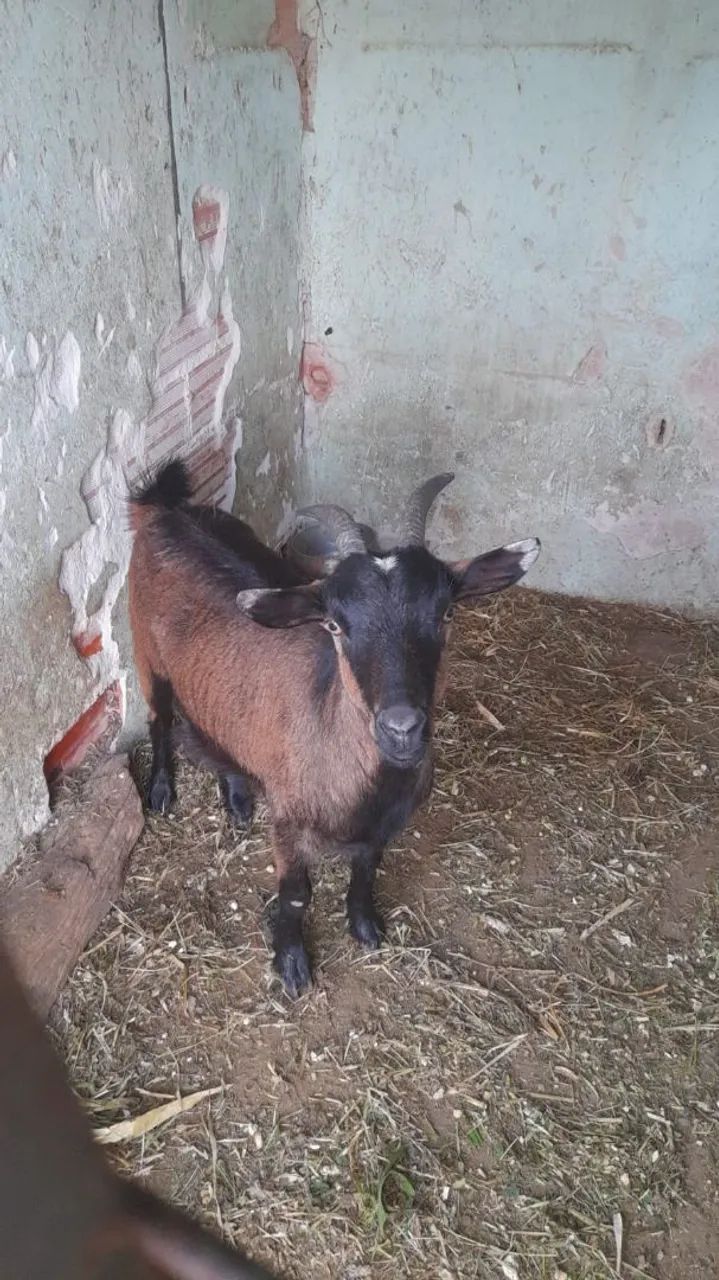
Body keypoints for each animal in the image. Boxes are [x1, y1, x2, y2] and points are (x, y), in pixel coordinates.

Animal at [128, 461, 540, 997]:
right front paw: (291, 964)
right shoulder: (289, 821)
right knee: (159, 719)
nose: (402, 728)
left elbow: (366, 871)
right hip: (145, 653)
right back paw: (160, 791)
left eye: (446, 612)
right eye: (335, 626)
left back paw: (237, 799)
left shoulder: (381, 827)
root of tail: (163, 510)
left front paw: (365, 927)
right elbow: (295, 893)